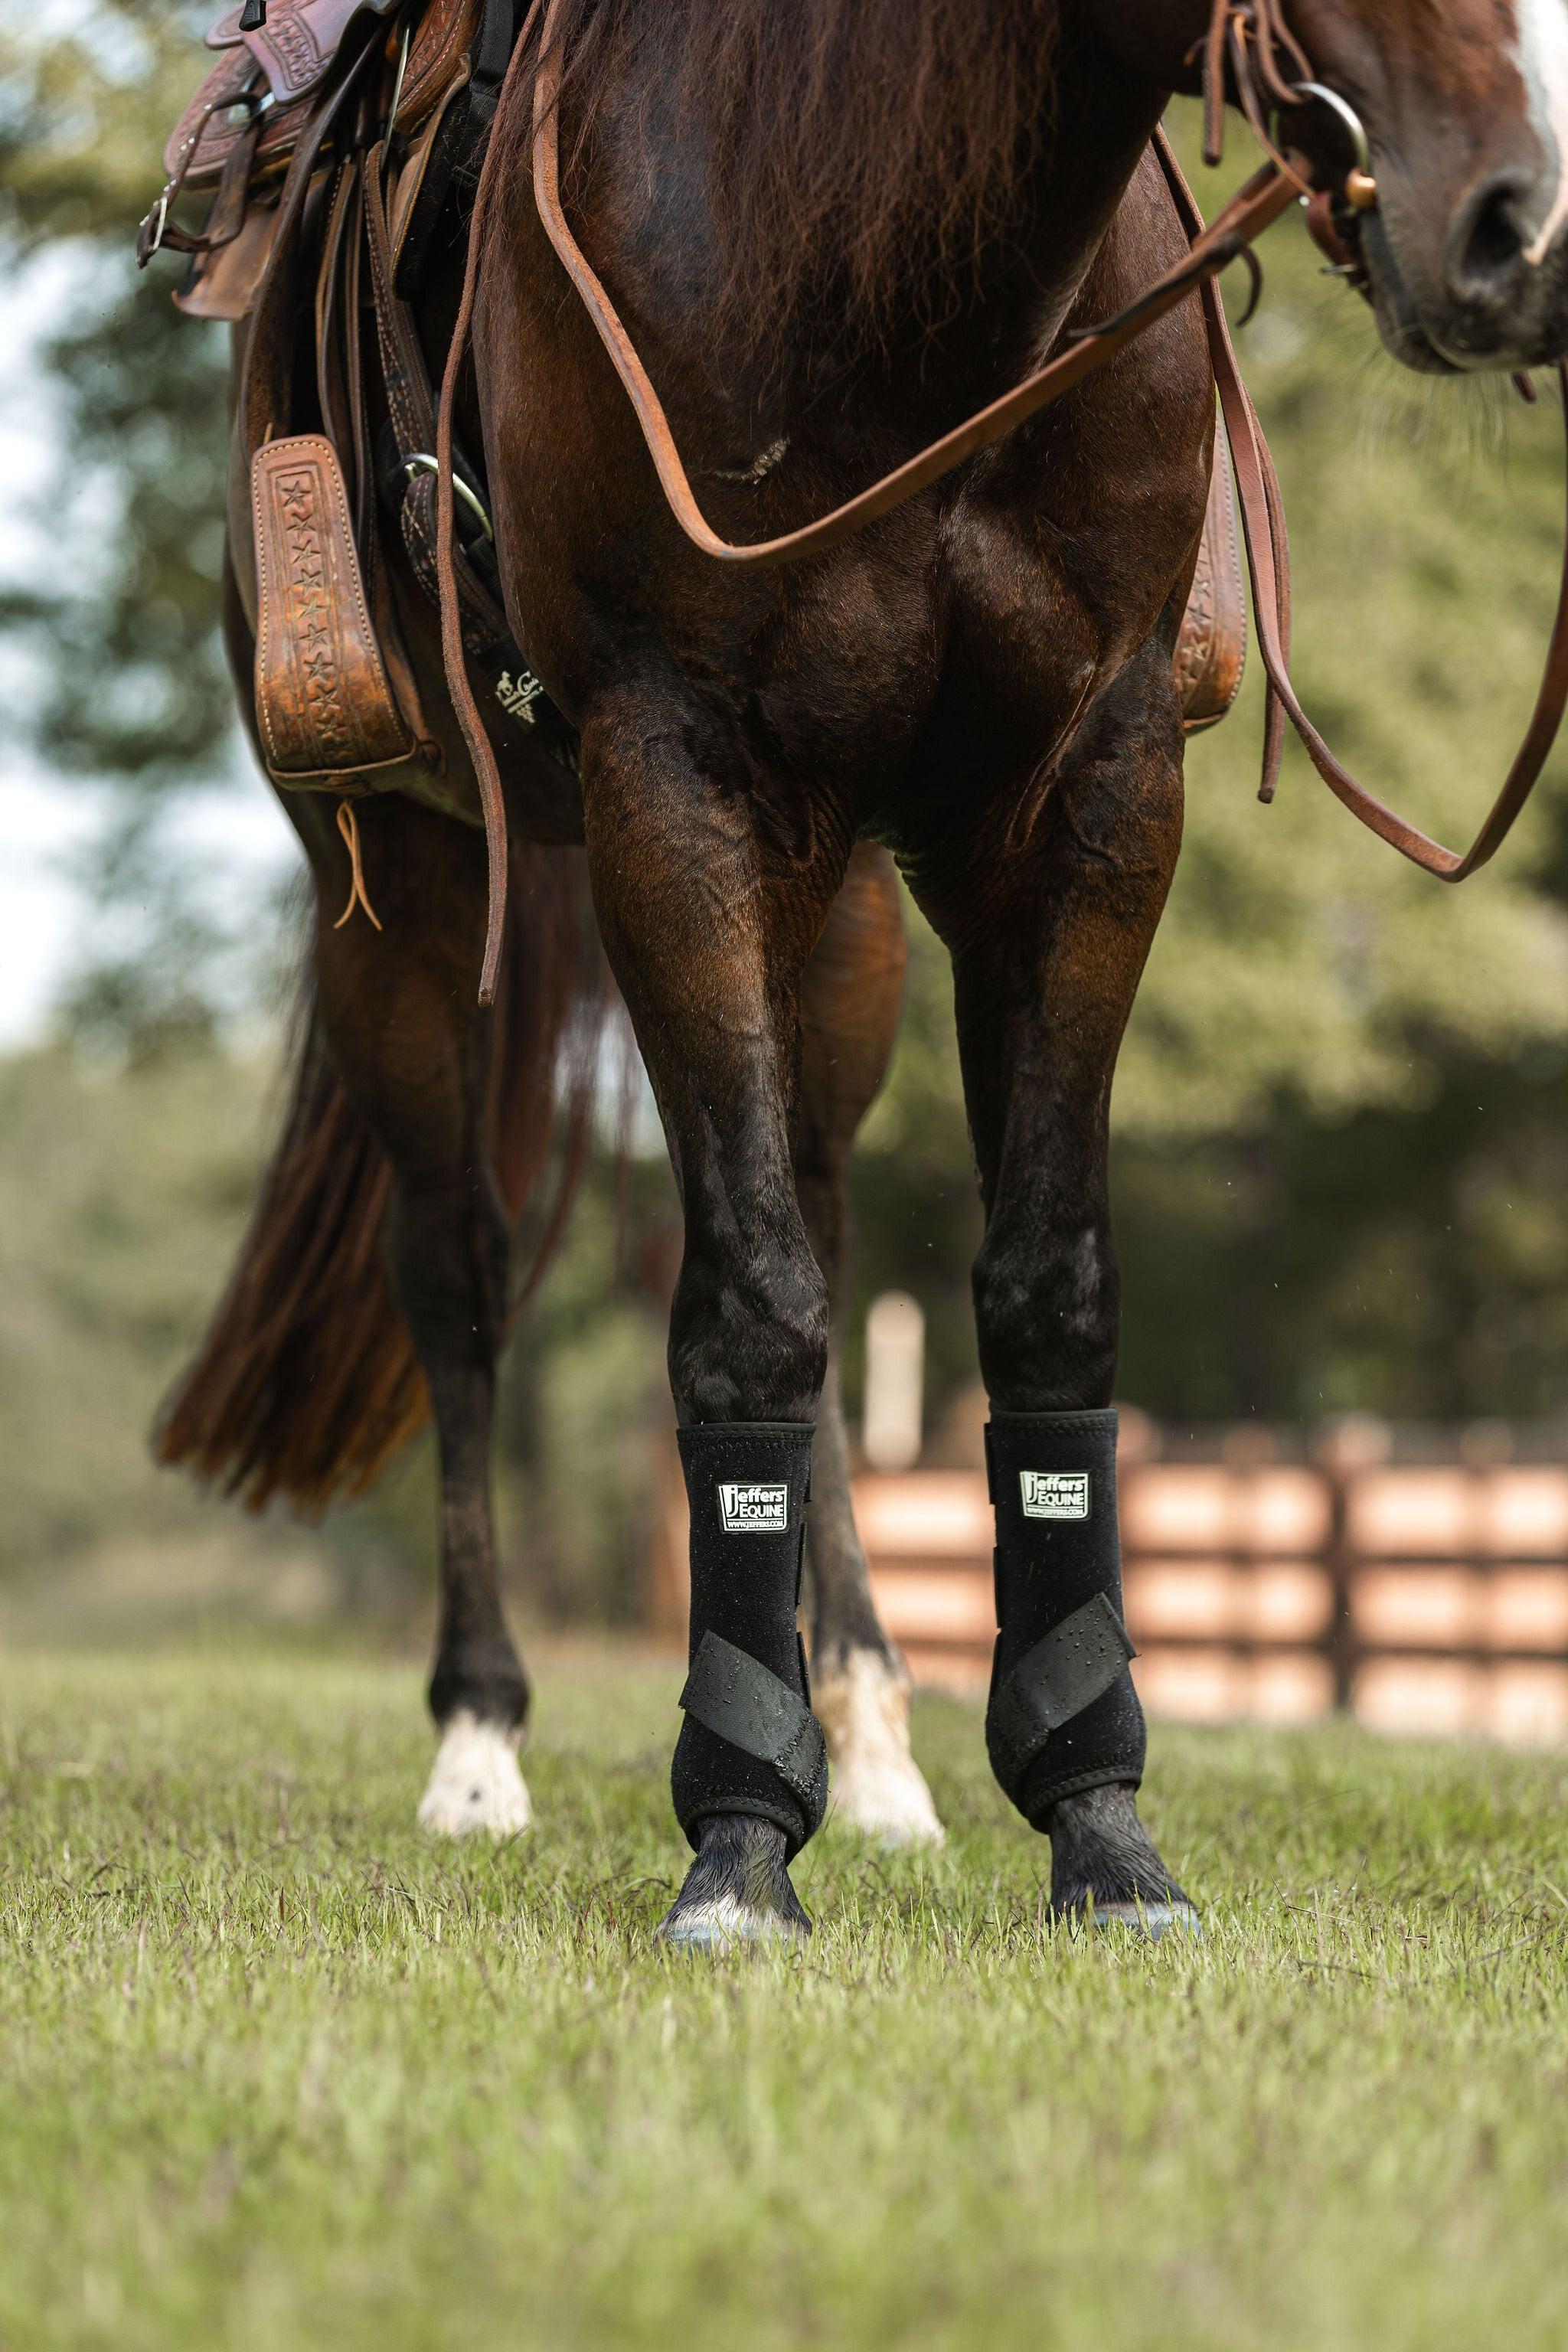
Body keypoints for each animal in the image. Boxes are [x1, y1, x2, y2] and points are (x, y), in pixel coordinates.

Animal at [160, 0, 1568, 1946]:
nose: (1506, 226)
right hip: (403, 881)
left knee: (809, 1227)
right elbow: (742, 1310)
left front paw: (1094, 1822)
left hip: (834, 924)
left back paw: (877, 1734)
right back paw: (481, 1743)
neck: (873, 251)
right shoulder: (671, 786)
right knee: (459, 1275)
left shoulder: (1088, 788)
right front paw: (741, 1836)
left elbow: (1033, 1292)